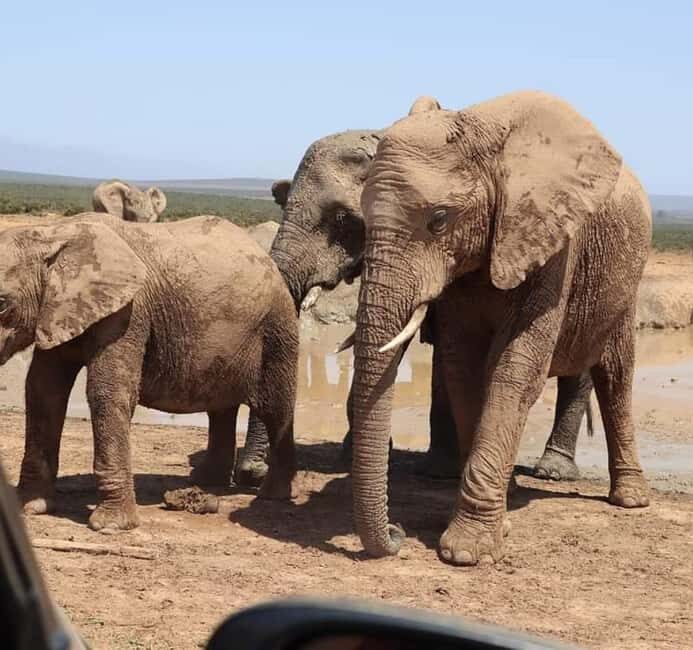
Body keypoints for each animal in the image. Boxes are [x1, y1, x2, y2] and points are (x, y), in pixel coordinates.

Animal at [0, 213, 297, 531]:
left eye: (2, 304)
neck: (52, 234)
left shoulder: (129, 311)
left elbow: (107, 392)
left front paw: (111, 526)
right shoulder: (56, 311)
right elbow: (43, 390)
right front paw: (30, 508)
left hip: (277, 329)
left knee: (276, 408)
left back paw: (272, 495)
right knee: (220, 409)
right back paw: (208, 483)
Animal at [350, 90, 651, 565]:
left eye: (439, 219)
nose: (396, 534)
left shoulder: (552, 242)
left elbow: (515, 371)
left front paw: (466, 553)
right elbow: (464, 368)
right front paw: (496, 523)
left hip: (625, 285)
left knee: (616, 375)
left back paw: (631, 500)